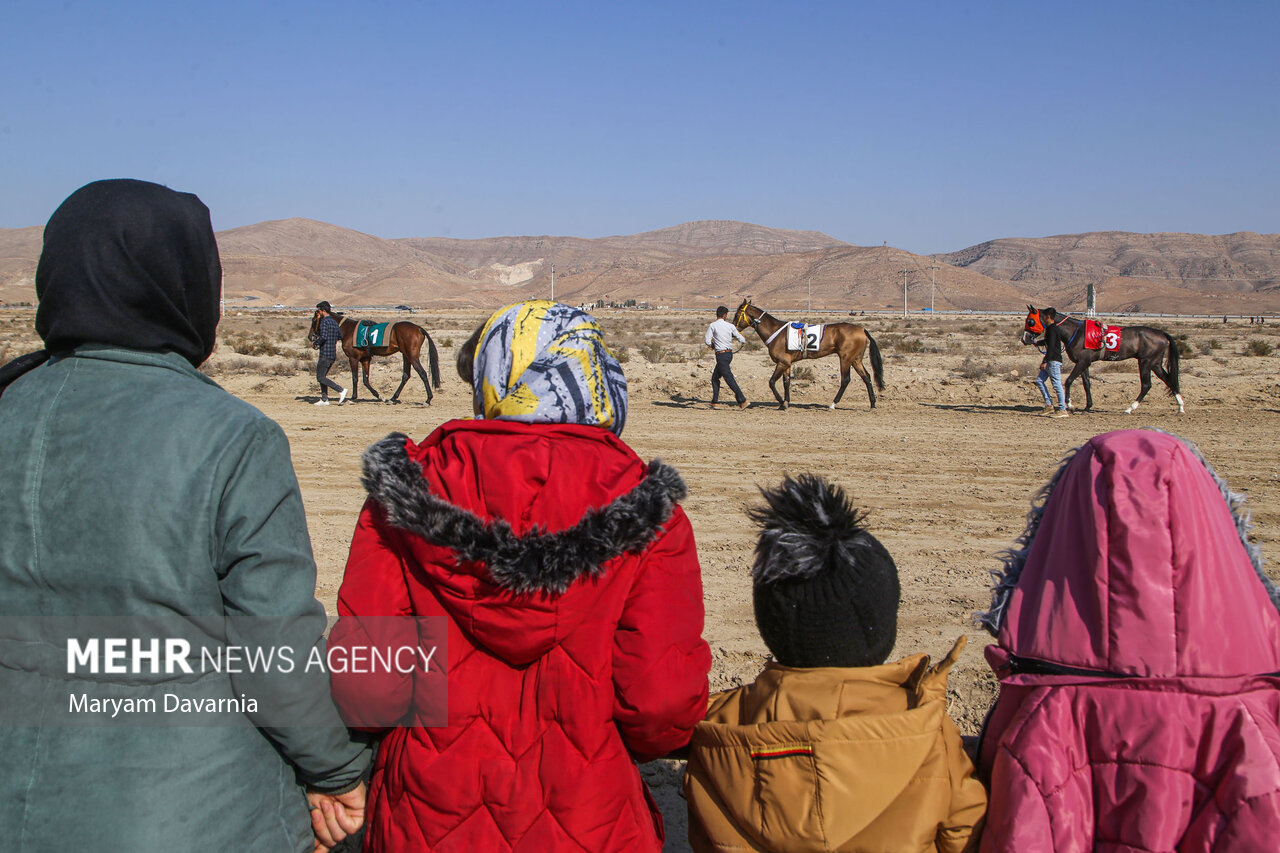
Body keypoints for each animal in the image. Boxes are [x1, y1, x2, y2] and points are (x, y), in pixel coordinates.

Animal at [311, 311, 445, 404]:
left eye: (314, 319)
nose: (311, 337)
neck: (349, 330)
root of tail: (419, 328)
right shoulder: (365, 359)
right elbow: (365, 380)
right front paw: (379, 396)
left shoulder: (353, 358)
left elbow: (355, 378)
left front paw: (353, 398)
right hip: (406, 355)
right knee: (406, 375)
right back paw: (392, 398)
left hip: (412, 356)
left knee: (422, 373)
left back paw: (428, 399)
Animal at [737, 295, 885, 409]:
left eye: (737, 314)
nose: (734, 327)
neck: (775, 331)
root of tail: (862, 330)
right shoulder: (786, 363)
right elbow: (786, 383)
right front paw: (786, 402)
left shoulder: (782, 362)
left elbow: (772, 382)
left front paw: (781, 402)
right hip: (856, 359)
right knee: (867, 377)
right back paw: (873, 404)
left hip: (845, 358)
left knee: (845, 380)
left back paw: (833, 404)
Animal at [1024, 303, 1182, 412]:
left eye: (1030, 321)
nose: (1025, 339)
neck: (1076, 332)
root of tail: (1162, 334)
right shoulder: (1084, 363)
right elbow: (1087, 383)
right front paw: (1088, 406)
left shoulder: (1083, 362)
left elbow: (1069, 381)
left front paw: (1069, 404)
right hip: (1155, 363)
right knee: (1169, 380)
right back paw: (1181, 406)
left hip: (1145, 362)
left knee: (1146, 385)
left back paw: (1130, 408)